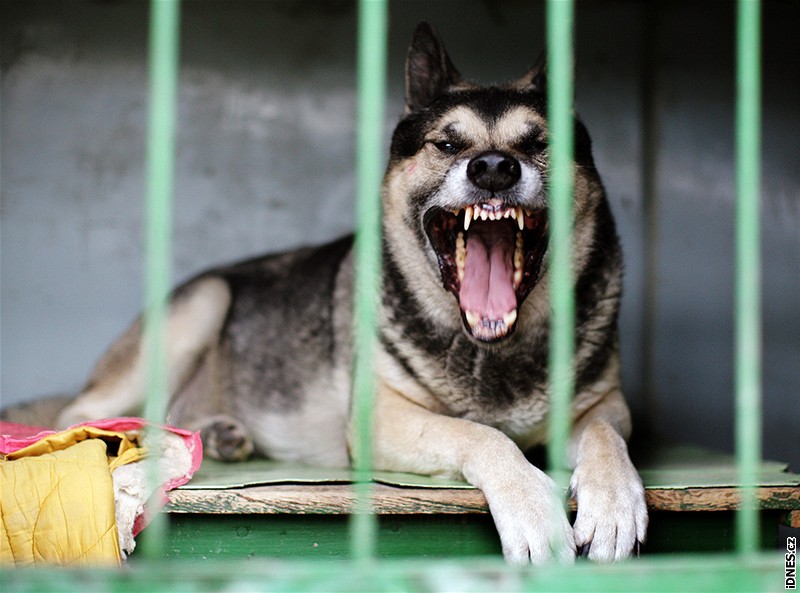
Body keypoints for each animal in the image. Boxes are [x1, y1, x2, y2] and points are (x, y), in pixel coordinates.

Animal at [45, 22, 648, 564]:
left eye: (540, 144)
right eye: (447, 144)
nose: (495, 167)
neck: (493, 348)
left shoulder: (603, 405)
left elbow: (605, 437)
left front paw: (615, 503)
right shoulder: (382, 419)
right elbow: (481, 435)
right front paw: (530, 507)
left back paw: (213, 435)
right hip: (202, 305)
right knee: (80, 419)